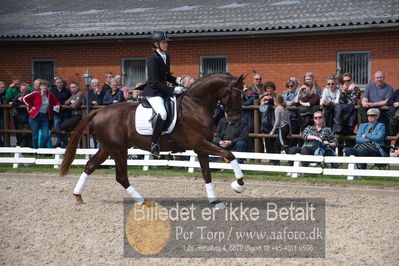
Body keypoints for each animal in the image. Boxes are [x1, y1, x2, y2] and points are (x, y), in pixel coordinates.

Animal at [60, 72, 247, 208]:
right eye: (232, 94)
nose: (236, 119)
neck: (196, 105)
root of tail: (99, 111)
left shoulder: (201, 148)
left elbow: (207, 174)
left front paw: (216, 201)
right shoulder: (200, 144)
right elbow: (229, 155)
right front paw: (238, 185)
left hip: (108, 148)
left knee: (90, 166)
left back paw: (78, 196)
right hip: (119, 150)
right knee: (121, 177)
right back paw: (143, 200)